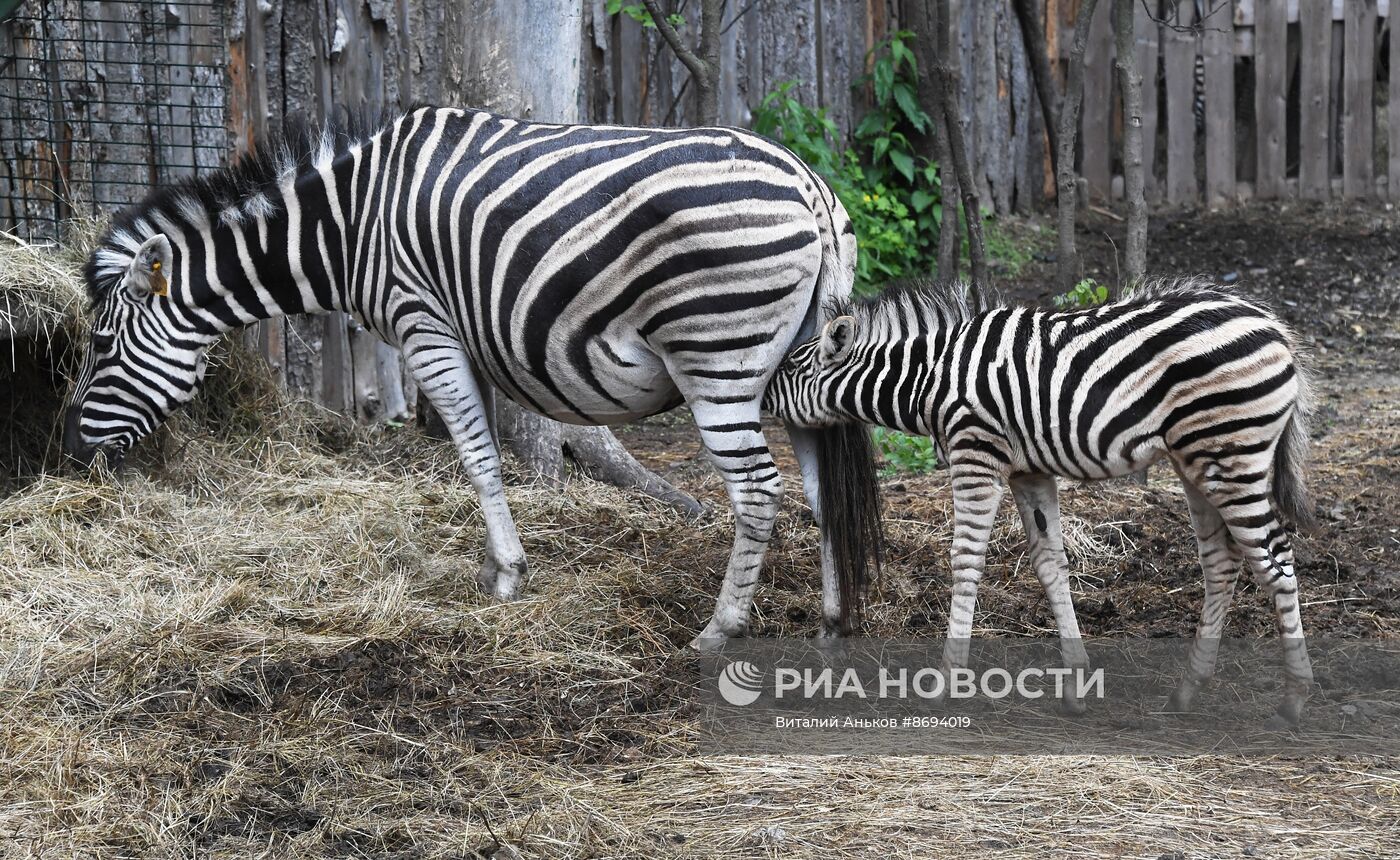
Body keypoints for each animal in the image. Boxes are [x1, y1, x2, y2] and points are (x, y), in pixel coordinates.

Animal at [65, 106, 879, 647]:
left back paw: (721, 627)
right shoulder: (470, 333)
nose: (71, 451)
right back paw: (834, 621)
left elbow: (477, 458)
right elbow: (484, 451)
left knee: (759, 490)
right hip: (796, 365)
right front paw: (497, 564)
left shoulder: (421, 322)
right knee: (820, 492)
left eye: (101, 344)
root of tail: (807, 183)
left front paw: (508, 575)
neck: (347, 226)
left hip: (717, 354)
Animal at [772, 280, 1316, 722]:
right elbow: (1049, 561)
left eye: (791, 368)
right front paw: (1076, 682)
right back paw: (1188, 689)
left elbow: (966, 559)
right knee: (1222, 561)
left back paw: (1294, 700)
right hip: (1196, 461)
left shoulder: (977, 453)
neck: (932, 378)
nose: (757, 392)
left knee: (1276, 561)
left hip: (1232, 455)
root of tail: (1273, 325)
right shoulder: (1028, 470)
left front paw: (945, 683)